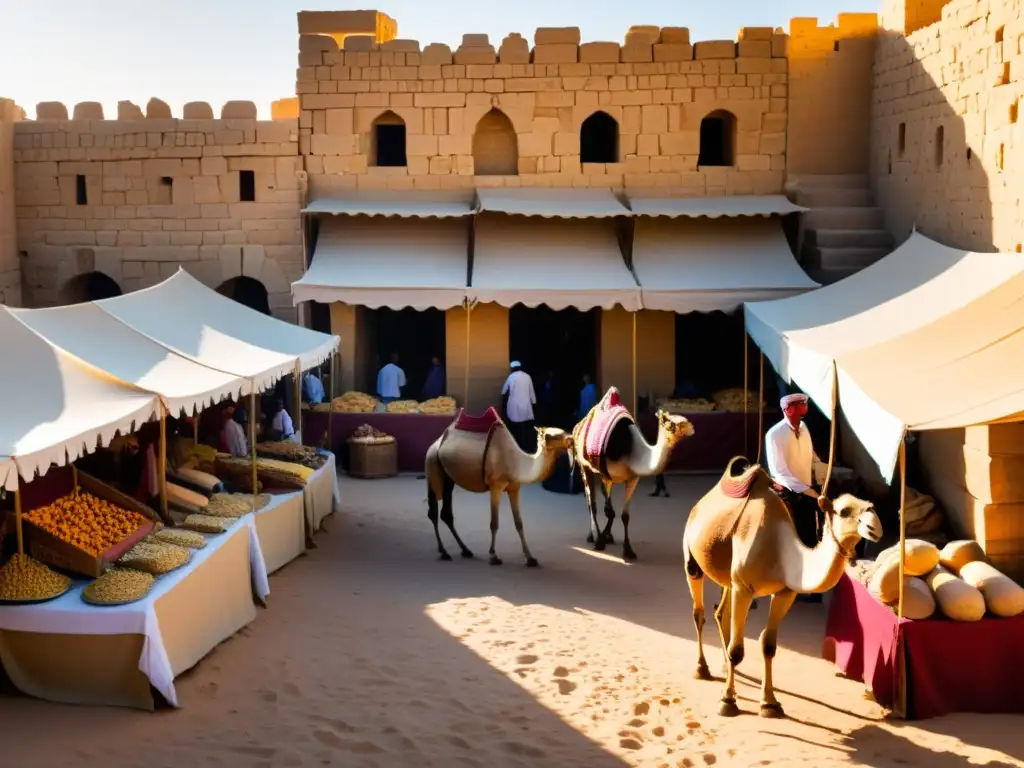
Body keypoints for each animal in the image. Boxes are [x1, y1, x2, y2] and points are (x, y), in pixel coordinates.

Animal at [421, 409, 569, 565]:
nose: (571, 440)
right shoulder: (495, 487)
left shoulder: (514, 488)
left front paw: (530, 558)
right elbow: (494, 523)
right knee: (433, 512)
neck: (517, 463)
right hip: (432, 465)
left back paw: (466, 550)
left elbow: (519, 523)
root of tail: (437, 443)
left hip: (448, 477)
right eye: (552, 436)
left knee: (446, 514)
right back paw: (444, 552)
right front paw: (493, 556)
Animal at [573, 391, 692, 561]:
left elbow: (624, 516)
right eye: (670, 422)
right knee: (591, 503)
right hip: (584, 466)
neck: (631, 451)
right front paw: (600, 542)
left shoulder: (632, 478)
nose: (690, 426)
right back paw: (593, 536)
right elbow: (609, 511)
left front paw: (628, 550)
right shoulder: (606, 475)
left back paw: (606, 536)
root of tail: (578, 426)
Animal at [679, 454, 880, 720]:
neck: (780, 549)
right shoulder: (745, 588)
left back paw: (725, 665)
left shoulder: (784, 592)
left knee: (720, 613)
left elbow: (768, 645)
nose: (875, 527)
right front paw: (728, 701)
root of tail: (699, 505)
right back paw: (702, 668)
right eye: (844, 510)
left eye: (871, 505)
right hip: (692, 559)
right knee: (698, 612)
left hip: (728, 579)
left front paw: (770, 703)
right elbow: (738, 650)